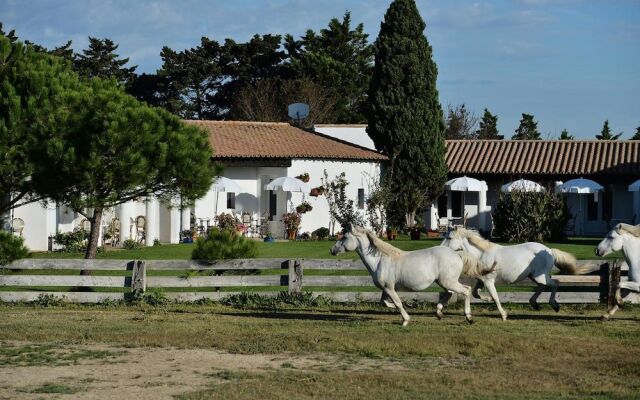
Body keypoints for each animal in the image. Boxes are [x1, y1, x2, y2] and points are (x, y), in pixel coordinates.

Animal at [330, 225, 496, 324]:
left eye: (344, 237)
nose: (332, 250)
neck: (380, 260)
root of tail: (457, 254)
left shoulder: (389, 288)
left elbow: (397, 303)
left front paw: (405, 319)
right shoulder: (386, 289)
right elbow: (384, 302)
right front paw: (401, 307)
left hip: (449, 281)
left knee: (466, 290)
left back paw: (469, 317)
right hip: (443, 282)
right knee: (449, 294)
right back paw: (439, 313)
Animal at [442, 227, 588, 320]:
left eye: (449, 237)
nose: (440, 249)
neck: (482, 254)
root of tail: (549, 250)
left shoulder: (489, 281)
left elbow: (495, 297)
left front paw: (503, 315)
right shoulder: (481, 280)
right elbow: (476, 294)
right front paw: (487, 299)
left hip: (540, 276)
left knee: (554, 283)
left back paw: (554, 305)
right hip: (535, 276)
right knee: (544, 286)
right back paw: (535, 304)